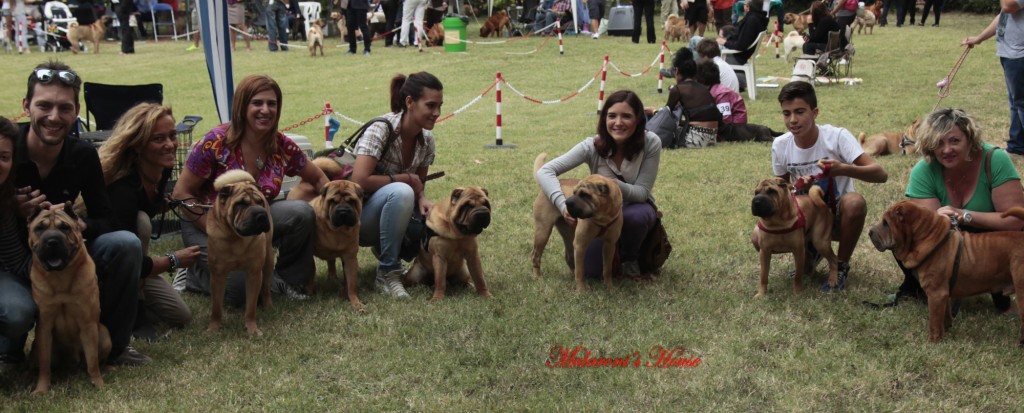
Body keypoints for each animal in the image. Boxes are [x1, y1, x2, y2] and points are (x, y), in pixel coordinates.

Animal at [27, 202, 110, 395]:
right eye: (39, 228)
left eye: (64, 227)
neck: (61, 277)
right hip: (36, 348)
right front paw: (41, 389)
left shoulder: (88, 324)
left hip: (104, 334)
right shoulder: (44, 326)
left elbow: (92, 361)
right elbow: (44, 364)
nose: (52, 241)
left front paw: (98, 383)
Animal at [207, 170, 274, 338]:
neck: (236, 237)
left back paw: (268, 305)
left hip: (268, 260)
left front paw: (252, 329)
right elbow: (216, 307)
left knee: (266, 285)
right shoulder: (217, 275)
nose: (261, 214)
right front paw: (213, 328)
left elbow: (251, 307)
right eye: (241, 204)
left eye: (260, 202)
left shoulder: (254, 273)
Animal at [307, 180, 364, 311]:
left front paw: (356, 303)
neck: (337, 231)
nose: (343, 211)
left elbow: (351, 283)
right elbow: (310, 271)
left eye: (351, 201)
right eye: (333, 201)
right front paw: (310, 291)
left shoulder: (349, 257)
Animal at [536, 153, 622, 293]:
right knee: (536, 256)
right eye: (574, 192)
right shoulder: (580, 245)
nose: (567, 202)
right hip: (542, 232)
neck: (602, 218)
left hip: (568, 234)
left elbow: (607, 269)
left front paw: (609, 287)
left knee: (569, 256)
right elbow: (581, 271)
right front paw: (581, 290)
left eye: (585, 194)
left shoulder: (610, 244)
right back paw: (538, 277)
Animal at [868, 203, 1024, 346]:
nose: (869, 232)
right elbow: (944, 315)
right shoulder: (944, 293)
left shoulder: (936, 294)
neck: (929, 239)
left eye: (886, 223)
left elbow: (934, 320)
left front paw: (932, 342)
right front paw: (947, 331)